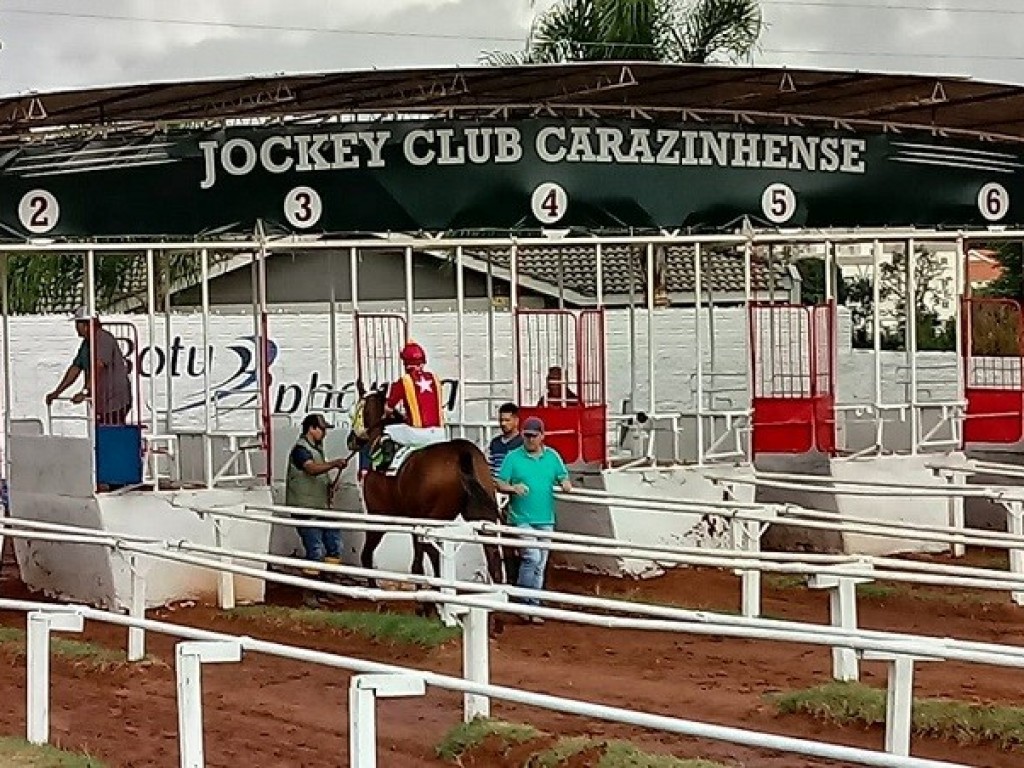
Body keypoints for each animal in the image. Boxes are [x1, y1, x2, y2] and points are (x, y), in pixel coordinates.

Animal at [346, 385, 505, 593]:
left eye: (355, 410)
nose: (351, 440)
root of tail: (461, 452)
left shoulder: (379, 514)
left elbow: (371, 555)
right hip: (480, 514)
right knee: (493, 556)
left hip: (432, 517)